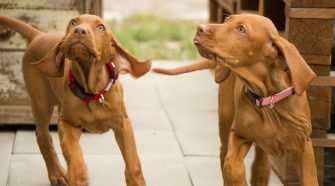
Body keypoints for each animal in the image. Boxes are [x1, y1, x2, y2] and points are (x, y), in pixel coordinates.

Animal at [0, 13, 151, 185]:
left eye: (100, 27)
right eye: (73, 22)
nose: (79, 30)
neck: (92, 91)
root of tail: (40, 35)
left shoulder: (123, 124)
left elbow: (133, 161)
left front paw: (136, 181)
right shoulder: (67, 123)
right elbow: (73, 152)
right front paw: (78, 175)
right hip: (41, 103)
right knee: (43, 137)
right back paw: (57, 174)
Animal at [154, 13, 318, 185]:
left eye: (241, 29)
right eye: (227, 20)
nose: (200, 28)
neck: (269, 98)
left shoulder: (303, 146)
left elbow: (310, 179)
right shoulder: (239, 135)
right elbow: (232, 167)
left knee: (261, 165)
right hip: (226, 125)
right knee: (225, 157)